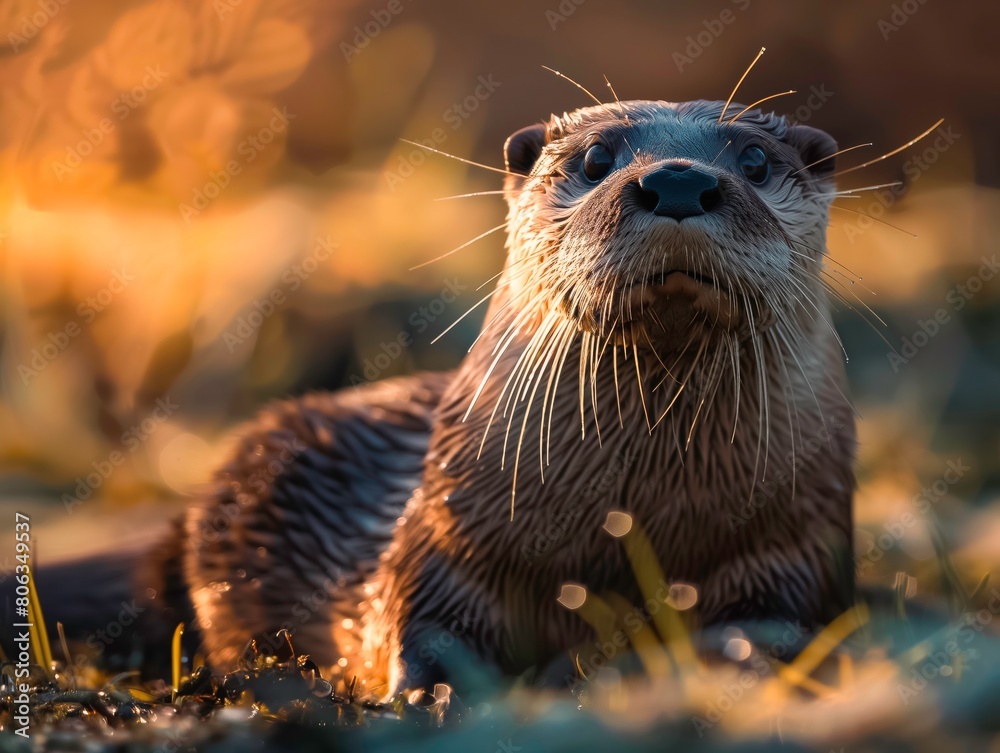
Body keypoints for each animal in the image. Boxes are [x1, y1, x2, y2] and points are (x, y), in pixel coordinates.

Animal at [37, 94, 860, 700]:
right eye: (596, 158)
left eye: (755, 160)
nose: (681, 182)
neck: (640, 516)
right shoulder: (445, 536)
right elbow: (417, 621)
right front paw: (432, 688)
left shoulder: (794, 544)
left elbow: (783, 623)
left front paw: (728, 656)